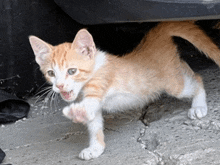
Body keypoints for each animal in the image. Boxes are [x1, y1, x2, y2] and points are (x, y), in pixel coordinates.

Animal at [30, 21, 220, 160]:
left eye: (72, 71)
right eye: (51, 73)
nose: (60, 86)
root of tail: (154, 38)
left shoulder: (100, 84)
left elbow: (87, 108)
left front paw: (75, 113)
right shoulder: (94, 105)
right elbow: (94, 124)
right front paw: (96, 148)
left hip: (173, 85)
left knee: (197, 79)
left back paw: (198, 106)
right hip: (174, 72)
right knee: (185, 67)